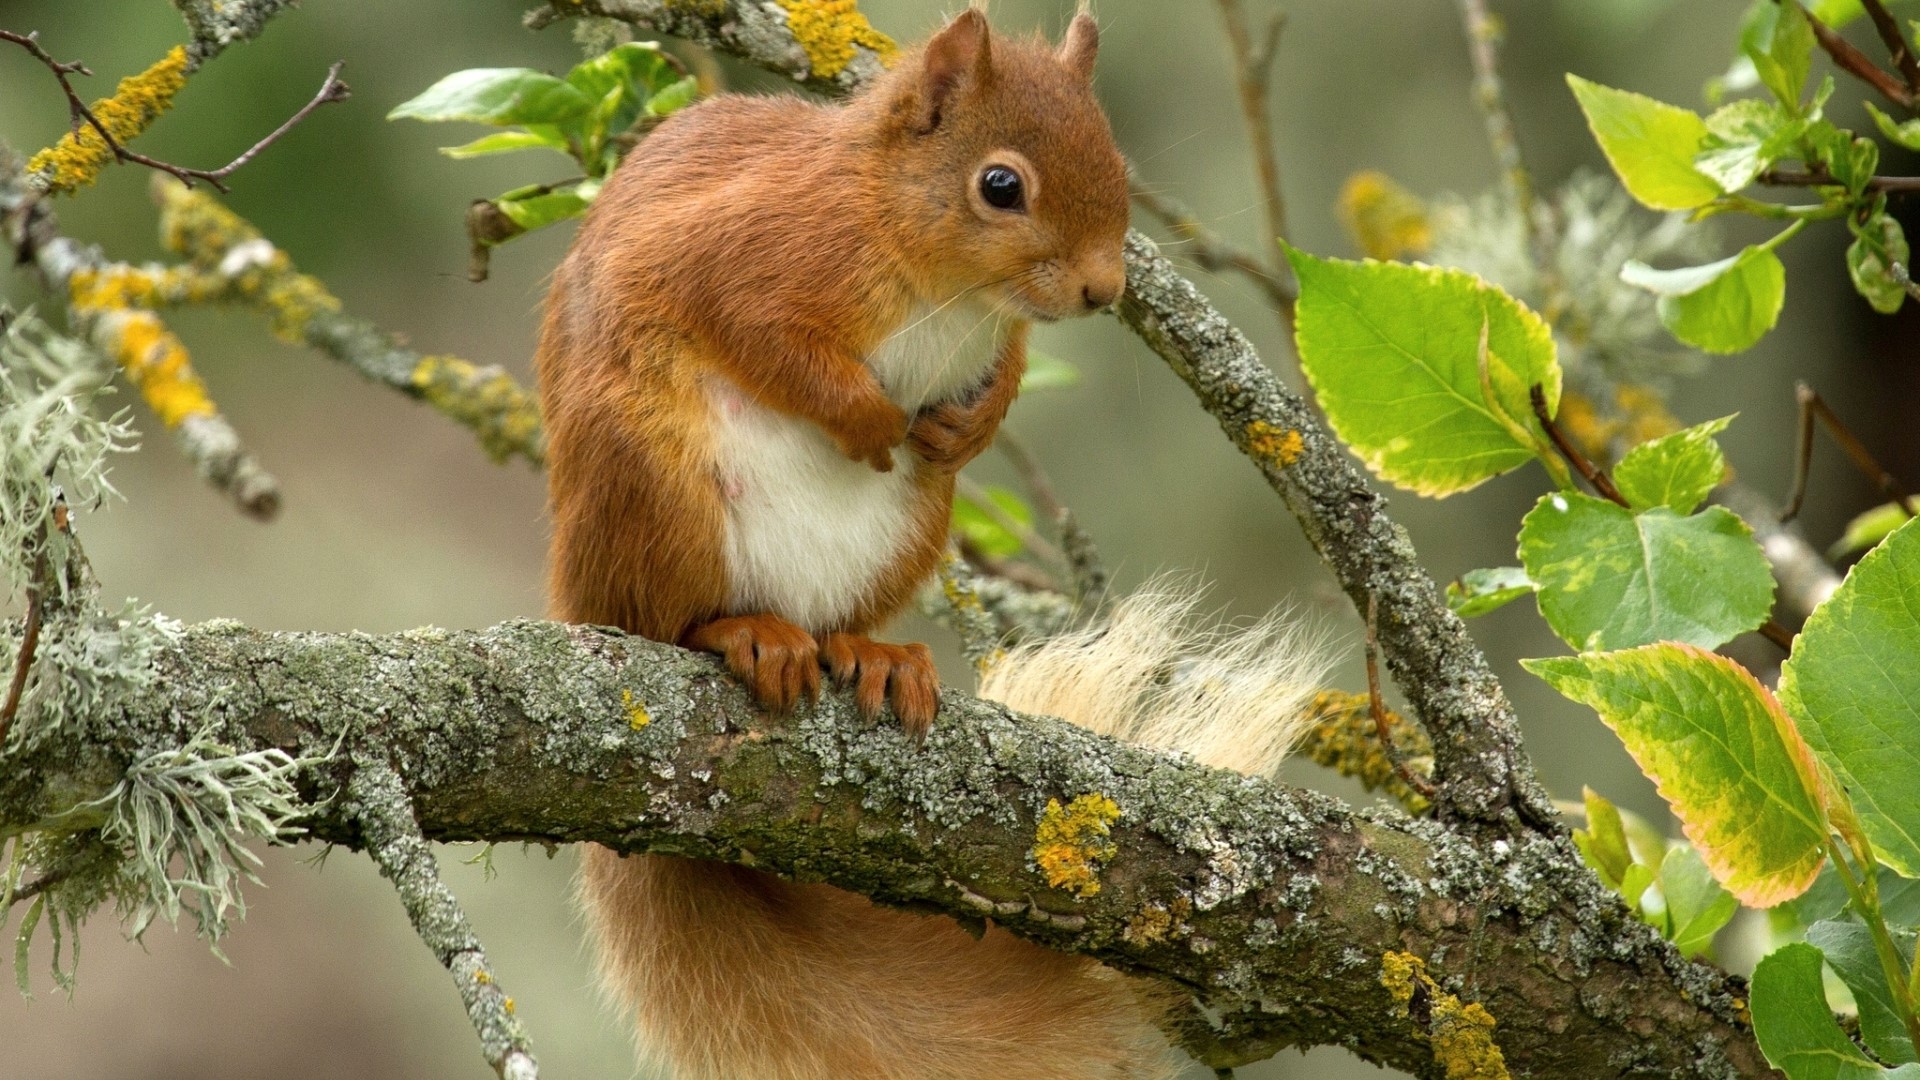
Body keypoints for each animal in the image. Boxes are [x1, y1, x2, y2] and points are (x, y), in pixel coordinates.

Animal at [537, 7, 1325, 1078]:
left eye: (1116, 161)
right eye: (1001, 186)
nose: (1104, 288)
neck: (945, 284)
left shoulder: (994, 338)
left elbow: (1007, 369)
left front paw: (970, 422)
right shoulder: (742, 252)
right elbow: (766, 336)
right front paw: (868, 419)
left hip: (910, 531)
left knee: (840, 619)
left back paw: (871, 655)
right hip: (649, 488)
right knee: (657, 618)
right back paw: (740, 632)